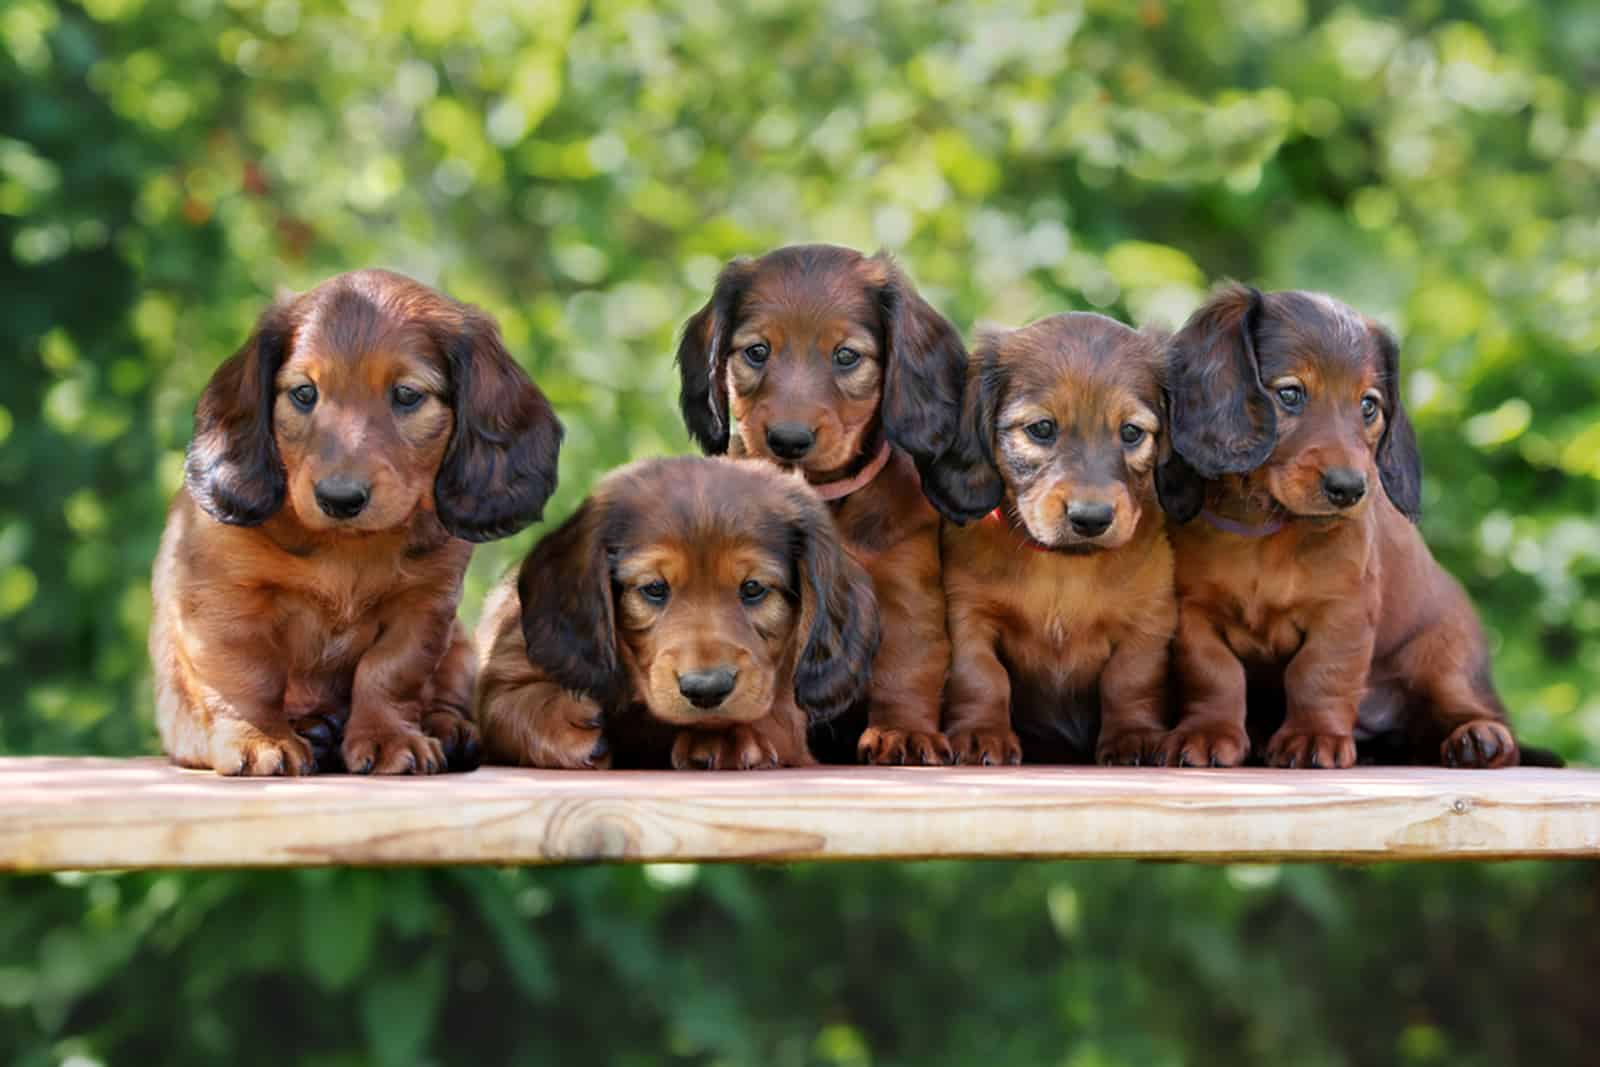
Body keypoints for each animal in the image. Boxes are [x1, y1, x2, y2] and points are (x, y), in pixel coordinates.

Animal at [151, 268, 563, 777]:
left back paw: (447, 729)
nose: (339, 499)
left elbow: (390, 673)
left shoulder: (423, 604)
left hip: (461, 648)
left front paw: (389, 737)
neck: (347, 546)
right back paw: (316, 729)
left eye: (406, 395)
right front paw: (260, 736)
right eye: (304, 393)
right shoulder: (221, 595)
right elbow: (247, 674)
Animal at [473, 454, 883, 771]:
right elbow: (505, 702)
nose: (707, 690)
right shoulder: (506, 661)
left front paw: (725, 736)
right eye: (655, 588)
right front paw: (560, 722)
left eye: (753, 588)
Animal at [678, 246, 972, 764]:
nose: (788, 440)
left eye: (846, 355)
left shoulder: (907, 591)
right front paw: (734, 736)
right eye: (757, 351)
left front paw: (903, 731)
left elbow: (908, 665)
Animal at [928, 313, 1190, 764]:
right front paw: (981, 734)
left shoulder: (1149, 621)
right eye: (1042, 429)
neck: (1063, 565)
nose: (1091, 519)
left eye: (1132, 432)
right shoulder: (968, 614)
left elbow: (1129, 680)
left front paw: (1134, 737)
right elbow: (981, 676)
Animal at [1158, 283, 1542, 767]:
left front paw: (1313, 736)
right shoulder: (1192, 613)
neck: (1265, 529)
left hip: (1442, 658)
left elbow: (1318, 672)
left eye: (1369, 405)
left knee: (1465, 708)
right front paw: (1208, 733)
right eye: (1289, 394)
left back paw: (1479, 739)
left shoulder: (1343, 609)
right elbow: (1214, 674)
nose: (1350, 489)